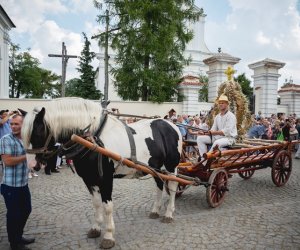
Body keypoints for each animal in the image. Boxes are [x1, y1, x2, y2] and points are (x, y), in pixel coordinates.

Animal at [21, 97, 182, 248]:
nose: (33, 164)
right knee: (159, 185)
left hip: (170, 167)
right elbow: (97, 203)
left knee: (173, 186)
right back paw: (155, 210)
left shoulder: (106, 179)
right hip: (155, 168)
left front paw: (108, 236)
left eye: (38, 132)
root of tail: (172, 124)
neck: (93, 138)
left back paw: (169, 213)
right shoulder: (89, 179)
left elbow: (107, 207)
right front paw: (96, 228)